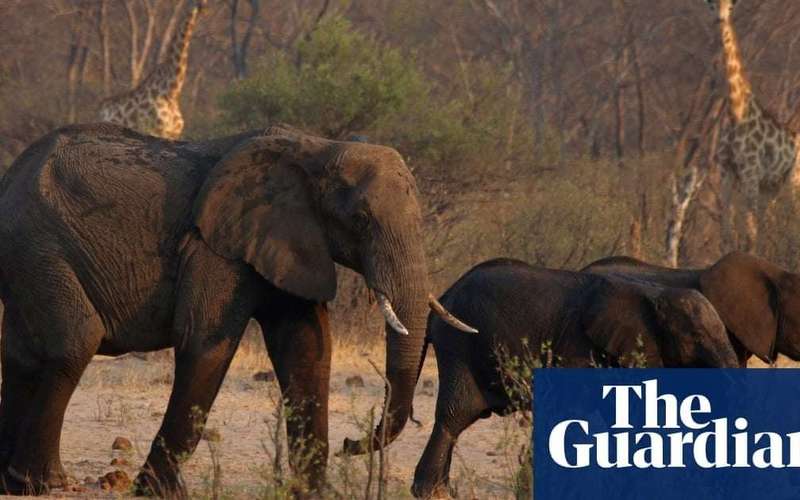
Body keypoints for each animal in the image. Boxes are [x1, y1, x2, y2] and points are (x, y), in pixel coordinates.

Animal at [0, 122, 474, 496]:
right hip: (37, 246)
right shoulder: (216, 248)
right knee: (73, 344)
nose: (350, 444)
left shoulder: (289, 241)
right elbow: (206, 343)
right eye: (359, 219)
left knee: (21, 355)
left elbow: (307, 348)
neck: (317, 148)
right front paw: (155, 492)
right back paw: (43, 484)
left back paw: (12, 481)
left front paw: (310, 493)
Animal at [411, 258, 739, 498]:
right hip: (458, 344)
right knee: (455, 414)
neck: (654, 294)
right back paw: (432, 493)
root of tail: (443, 295)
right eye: (696, 337)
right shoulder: (577, 346)